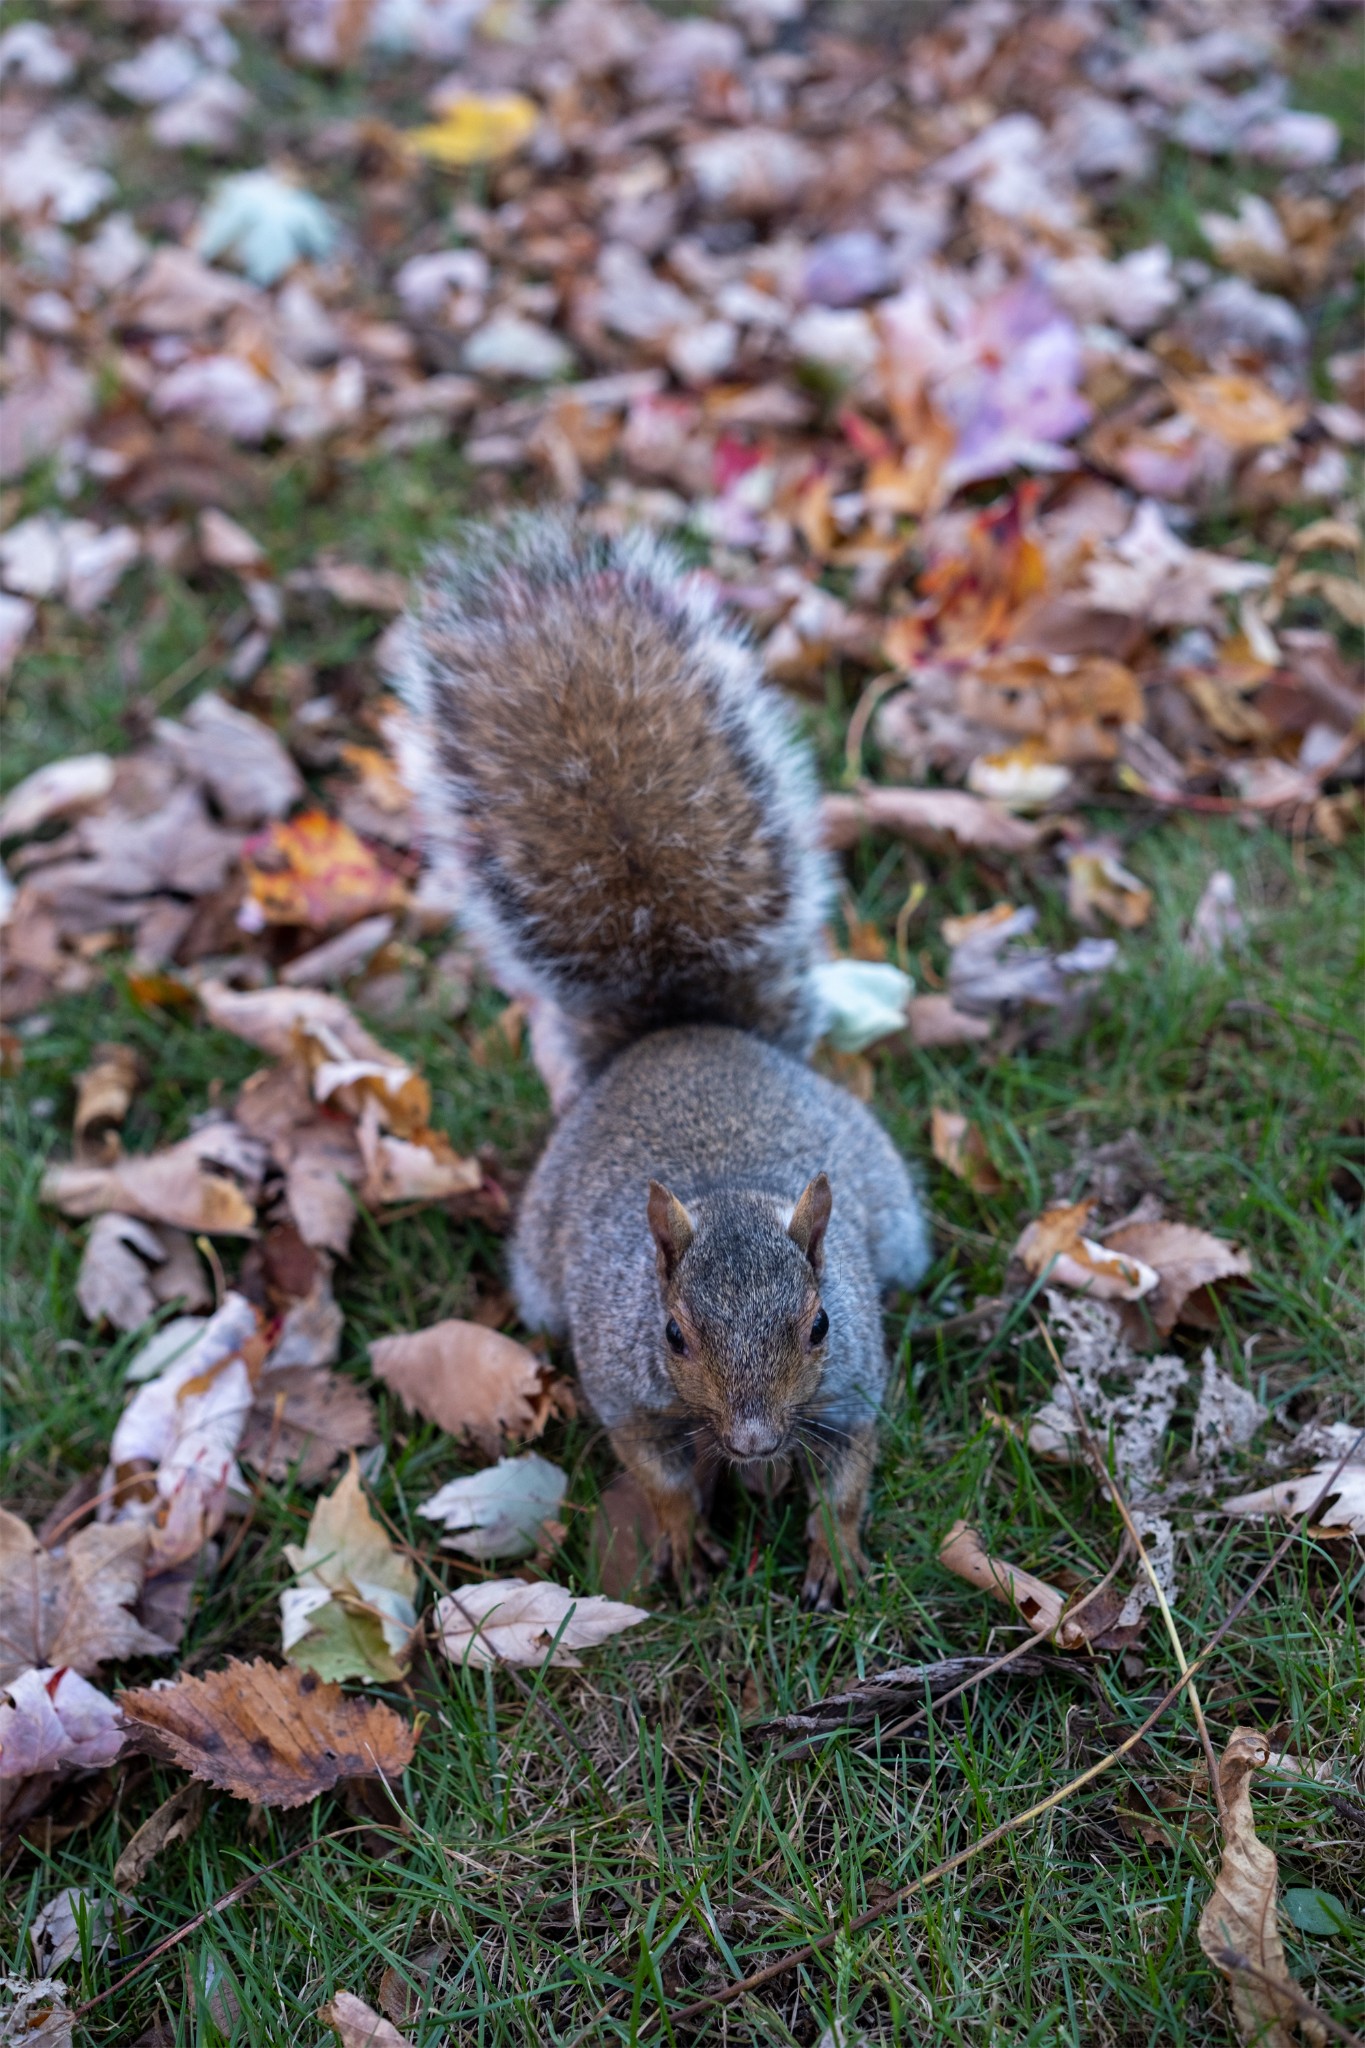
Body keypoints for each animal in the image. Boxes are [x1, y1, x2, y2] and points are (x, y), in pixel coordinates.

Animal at [394, 512, 929, 1597]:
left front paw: (835, 1554)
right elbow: (659, 1471)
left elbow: (848, 1474)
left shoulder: (852, 1382)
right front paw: (683, 1541)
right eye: (672, 1333)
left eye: (819, 1324)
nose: (757, 1439)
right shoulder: (624, 1382)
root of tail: (679, 1029)